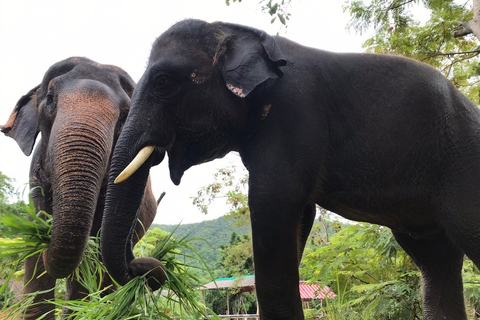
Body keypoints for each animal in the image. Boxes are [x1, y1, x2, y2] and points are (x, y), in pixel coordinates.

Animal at [100, 20, 480, 320]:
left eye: (163, 81)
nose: (150, 269)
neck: (233, 31)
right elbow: (299, 214)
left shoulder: (295, 111)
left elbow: (273, 202)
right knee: (435, 260)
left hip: (463, 164)